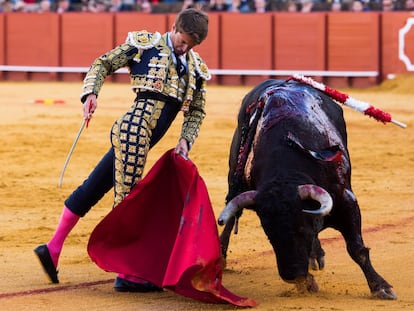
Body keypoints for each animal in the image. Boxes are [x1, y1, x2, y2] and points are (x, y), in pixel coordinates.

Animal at [218, 79, 396, 302]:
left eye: (302, 229)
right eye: (269, 234)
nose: (291, 275)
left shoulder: (347, 201)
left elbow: (357, 248)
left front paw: (381, 287)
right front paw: (307, 282)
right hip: (234, 171)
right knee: (231, 214)